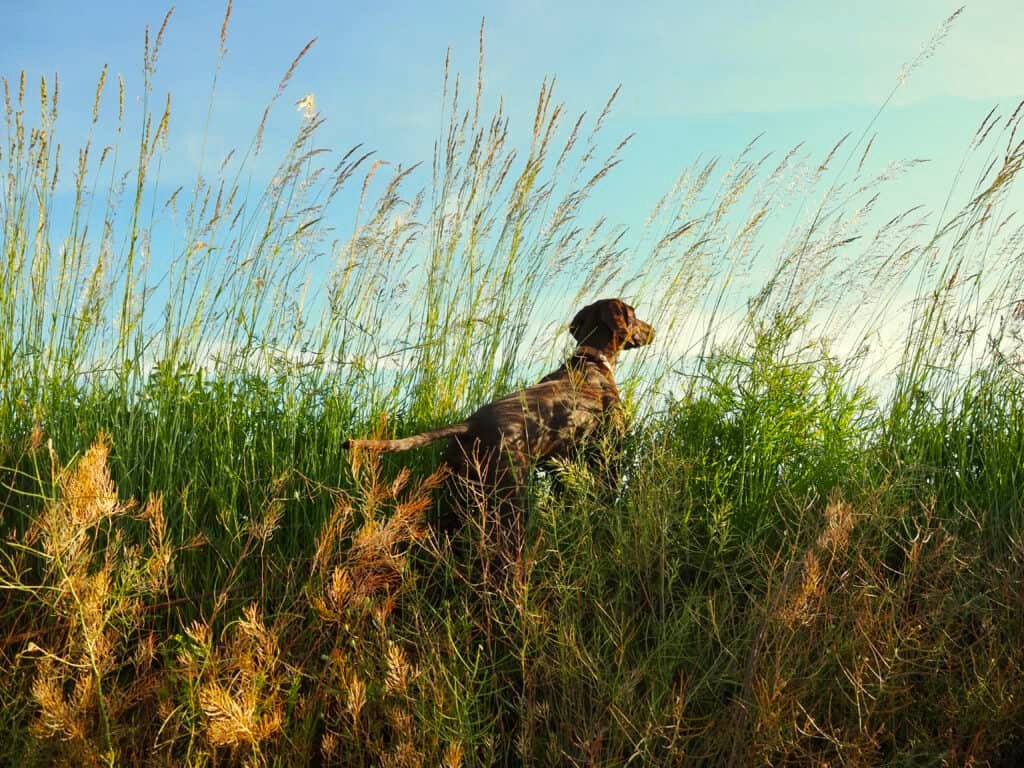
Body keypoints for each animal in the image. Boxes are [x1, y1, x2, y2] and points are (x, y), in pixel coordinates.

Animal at [339, 299, 651, 536]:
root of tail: (469, 424)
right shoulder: (608, 453)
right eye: (634, 314)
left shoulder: (560, 463)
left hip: (458, 501)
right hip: (509, 498)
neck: (591, 361)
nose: (652, 330)